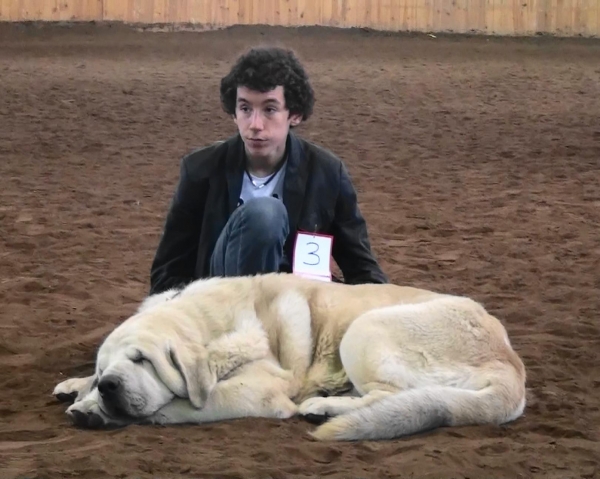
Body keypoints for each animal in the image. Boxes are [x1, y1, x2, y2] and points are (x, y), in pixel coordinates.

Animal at [54, 274, 528, 442]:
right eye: (103, 369)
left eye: (142, 360)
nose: (109, 385)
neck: (208, 323)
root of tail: (510, 363)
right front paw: (80, 390)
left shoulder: (257, 390)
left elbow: (186, 403)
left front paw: (100, 411)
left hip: (365, 330)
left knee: (387, 397)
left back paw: (322, 407)